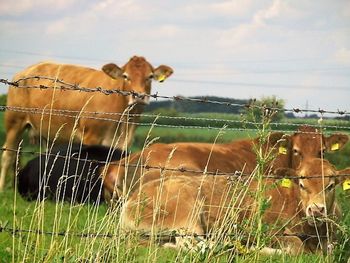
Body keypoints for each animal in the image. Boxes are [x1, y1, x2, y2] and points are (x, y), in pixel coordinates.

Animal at [0, 56, 174, 192]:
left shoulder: (123, 141)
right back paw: (2, 189)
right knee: (8, 154)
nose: (138, 96)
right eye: (126, 76)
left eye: (150, 76)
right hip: (14, 122)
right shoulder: (91, 137)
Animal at [119, 159, 348, 256]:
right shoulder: (268, 230)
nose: (316, 210)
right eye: (301, 183)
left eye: (331, 185)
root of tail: (133, 197)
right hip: (187, 209)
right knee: (191, 244)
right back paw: (234, 245)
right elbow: (296, 247)